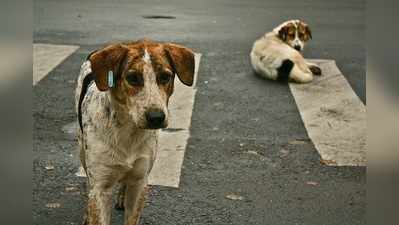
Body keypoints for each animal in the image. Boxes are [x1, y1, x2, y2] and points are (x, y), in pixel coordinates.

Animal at [74, 39, 195, 225]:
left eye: (165, 77)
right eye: (132, 78)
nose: (156, 117)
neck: (128, 130)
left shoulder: (140, 182)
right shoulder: (101, 187)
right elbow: (96, 201)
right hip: (82, 149)